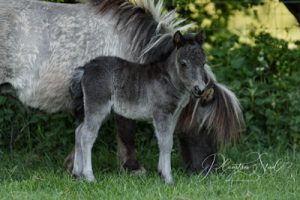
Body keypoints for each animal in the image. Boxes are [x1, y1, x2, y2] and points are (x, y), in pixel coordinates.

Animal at [0, 0, 244, 174]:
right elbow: (126, 129)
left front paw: (73, 166)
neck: (133, 42)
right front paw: (133, 167)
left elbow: (83, 132)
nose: (210, 171)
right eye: (206, 127)